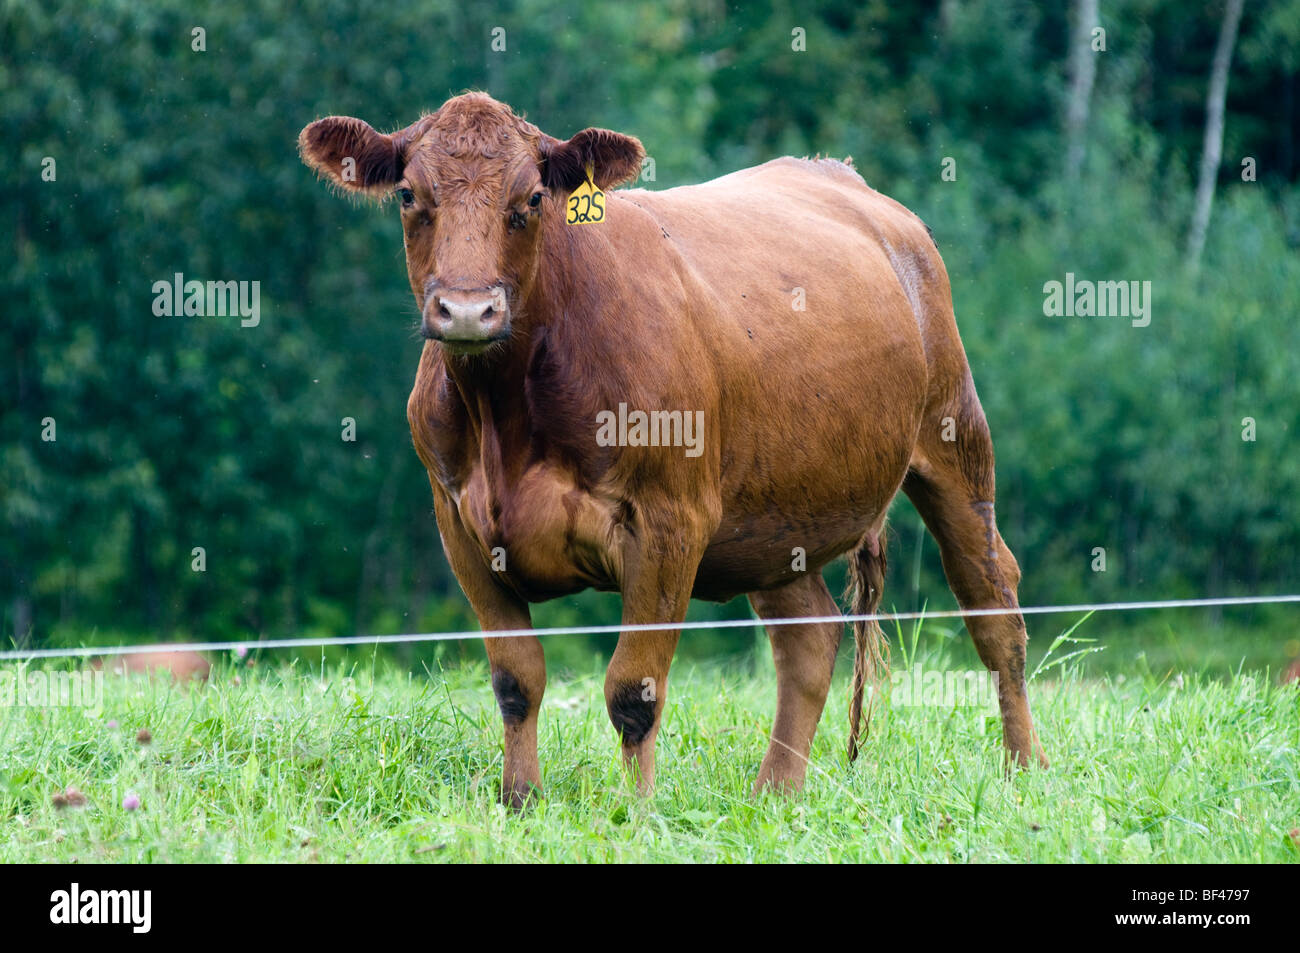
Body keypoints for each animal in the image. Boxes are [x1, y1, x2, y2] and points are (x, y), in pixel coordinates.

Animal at [301, 92, 1045, 800]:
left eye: (532, 198)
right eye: (408, 195)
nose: (465, 310)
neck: (506, 417)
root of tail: (844, 178)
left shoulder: (669, 523)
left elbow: (633, 692)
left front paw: (637, 811)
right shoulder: (461, 524)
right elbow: (517, 682)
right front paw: (520, 800)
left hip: (954, 439)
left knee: (994, 604)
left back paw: (1024, 771)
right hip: (775, 515)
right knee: (809, 637)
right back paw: (775, 795)